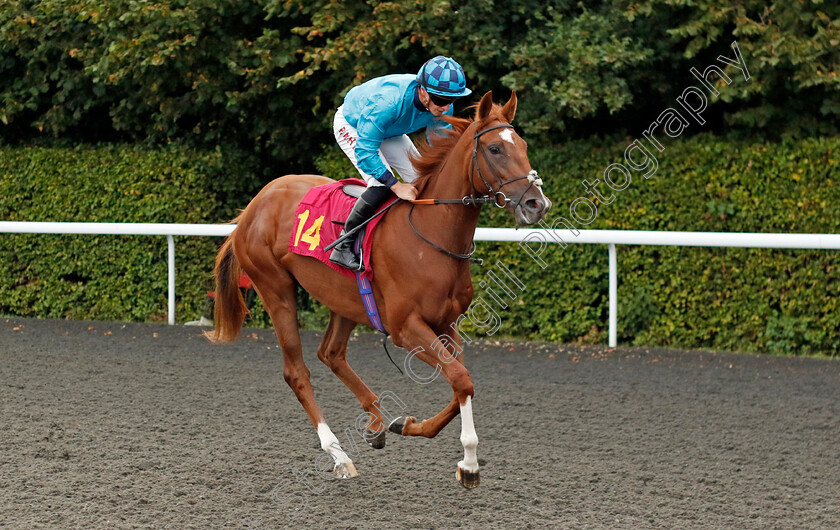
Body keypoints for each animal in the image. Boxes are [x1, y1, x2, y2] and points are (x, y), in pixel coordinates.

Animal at [208, 89, 552, 486]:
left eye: (522, 145)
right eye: (495, 149)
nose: (537, 203)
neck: (430, 234)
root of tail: (252, 208)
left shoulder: (447, 324)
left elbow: (461, 384)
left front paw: (411, 427)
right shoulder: (406, 328)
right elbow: (461, 380)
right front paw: (468, 464)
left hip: (344, 299)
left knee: (331, 353)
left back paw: (374, 422)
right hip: (275, 289)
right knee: (297, 372)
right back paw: (339, 456)